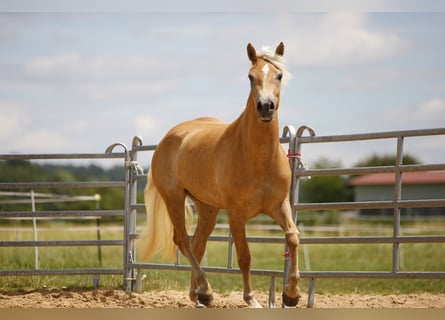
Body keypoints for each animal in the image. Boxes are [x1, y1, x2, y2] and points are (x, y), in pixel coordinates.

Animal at [140, 42, 298, 308]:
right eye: (250, 77)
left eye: (279, 75)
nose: (265, 106)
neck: (258, 158)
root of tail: (170, 136)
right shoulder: (236, 215)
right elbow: (244, 256)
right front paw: (251, 299)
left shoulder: (279, 205)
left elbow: (293, 238)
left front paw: (292, 295)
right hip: (174, 198)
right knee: (182, 240)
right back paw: (206, 290)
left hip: (208, 208)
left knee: (197, 244)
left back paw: (197, 295)